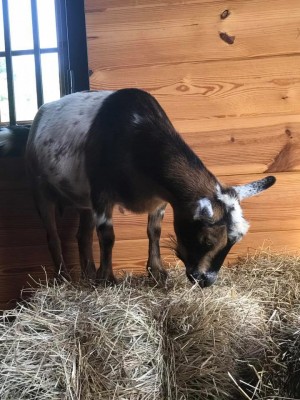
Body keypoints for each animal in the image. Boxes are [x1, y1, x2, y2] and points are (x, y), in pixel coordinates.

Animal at [26, 88, 276, 286]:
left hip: (82, 199)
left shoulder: (160, 200)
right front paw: (107, 278)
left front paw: (157, 272)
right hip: (39, 187)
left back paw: (87, 275)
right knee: (53, 235)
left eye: (233, 242)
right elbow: (107, 236)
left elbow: (153, 231)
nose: (206, 280)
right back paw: (63, 278)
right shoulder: (101, 193)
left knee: (83, 235)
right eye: (207, 240)